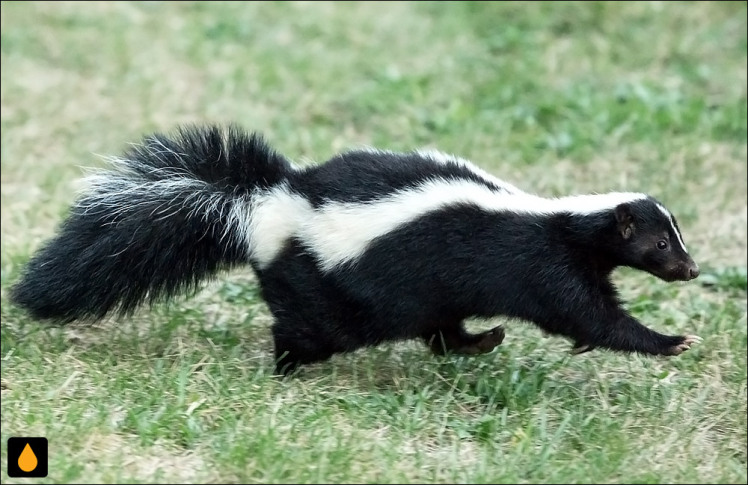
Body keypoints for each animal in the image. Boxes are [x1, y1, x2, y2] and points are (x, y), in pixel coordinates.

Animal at [10, 123, 700, 372]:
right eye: (662, 241)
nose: (691, 269)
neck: (564, 220)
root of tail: (269, 202)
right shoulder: (545, 266)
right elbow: (588, 315)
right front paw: (670, 341)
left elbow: (589, 313)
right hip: (330, 287)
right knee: (309, 329)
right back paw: (286, 369)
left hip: (415, 294)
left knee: (440, 328)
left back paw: (482, 341)